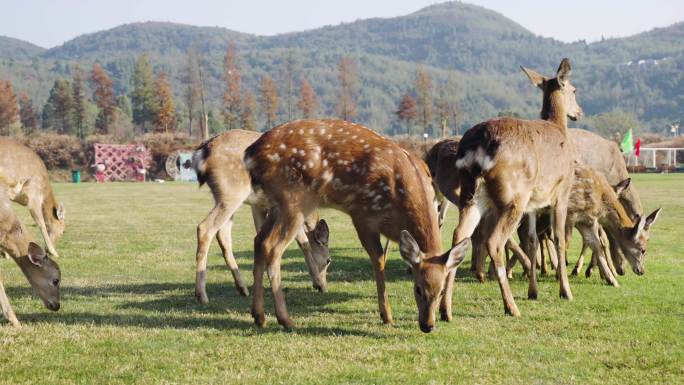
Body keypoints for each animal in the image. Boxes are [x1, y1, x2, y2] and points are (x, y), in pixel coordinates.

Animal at [191, 129, 332, 300]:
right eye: (328, 260)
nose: (324, 287)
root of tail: (202, 152)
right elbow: (303, 241)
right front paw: (316, 282)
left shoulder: (259, 206)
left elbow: (260, 236)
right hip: (233, 193)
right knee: (204, 228)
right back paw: (201, 295)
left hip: (223, 197)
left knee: (222, 235)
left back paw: (242, 288)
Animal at [242, 118, 470, 332]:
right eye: (418, 289)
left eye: (441, 290)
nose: (427, 325)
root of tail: (250, 154)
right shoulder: (362, 215)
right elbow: (378, 260)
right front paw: (386, 315)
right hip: (294, 199)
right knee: (272, 247)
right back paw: (285, 319)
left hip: (277, 203)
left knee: (258, 241)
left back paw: (258, 315)